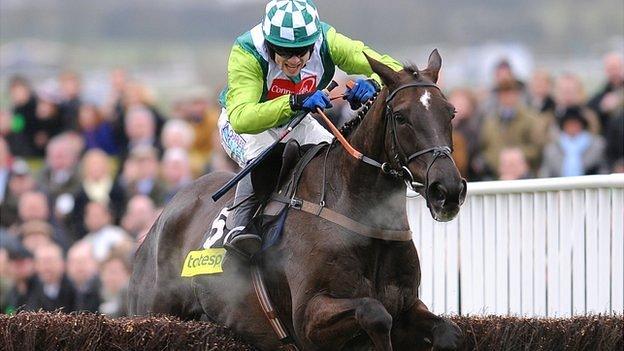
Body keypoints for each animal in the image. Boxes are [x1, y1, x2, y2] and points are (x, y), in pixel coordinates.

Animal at [129, 50, 466, 351]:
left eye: (450, 112)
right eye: (401, 116)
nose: (447, 189)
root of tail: (162, 218)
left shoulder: (407, 305)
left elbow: (447, 332)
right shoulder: (307, 319)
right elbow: (374, 313)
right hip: (153, 313)